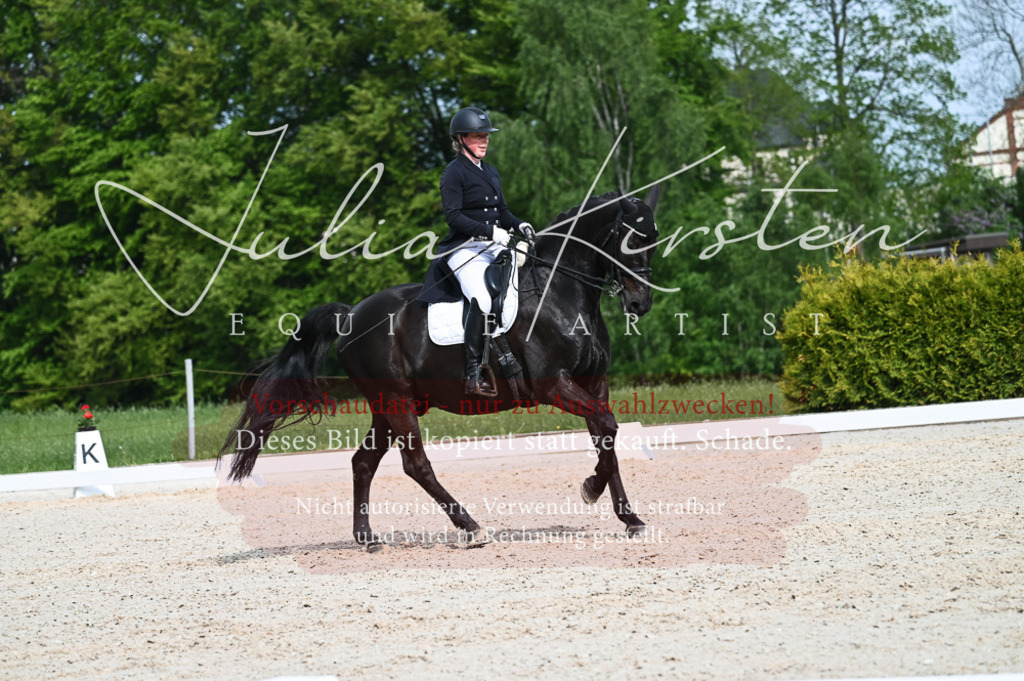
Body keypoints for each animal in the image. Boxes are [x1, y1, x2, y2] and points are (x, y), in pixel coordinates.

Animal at [219, 185, 661, 552]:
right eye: (631, 240)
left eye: (653, 240)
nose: (640, 304)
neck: (560, 291)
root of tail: (350, 316)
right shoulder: (554, 386)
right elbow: (607, 427)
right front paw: (591, 488)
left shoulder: (594, 384)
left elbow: (606, 435)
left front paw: (629, 517)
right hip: (396, 401)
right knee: (416, 464)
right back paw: (471, 528)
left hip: (387, 406)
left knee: (364, 463)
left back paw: (367, 538)